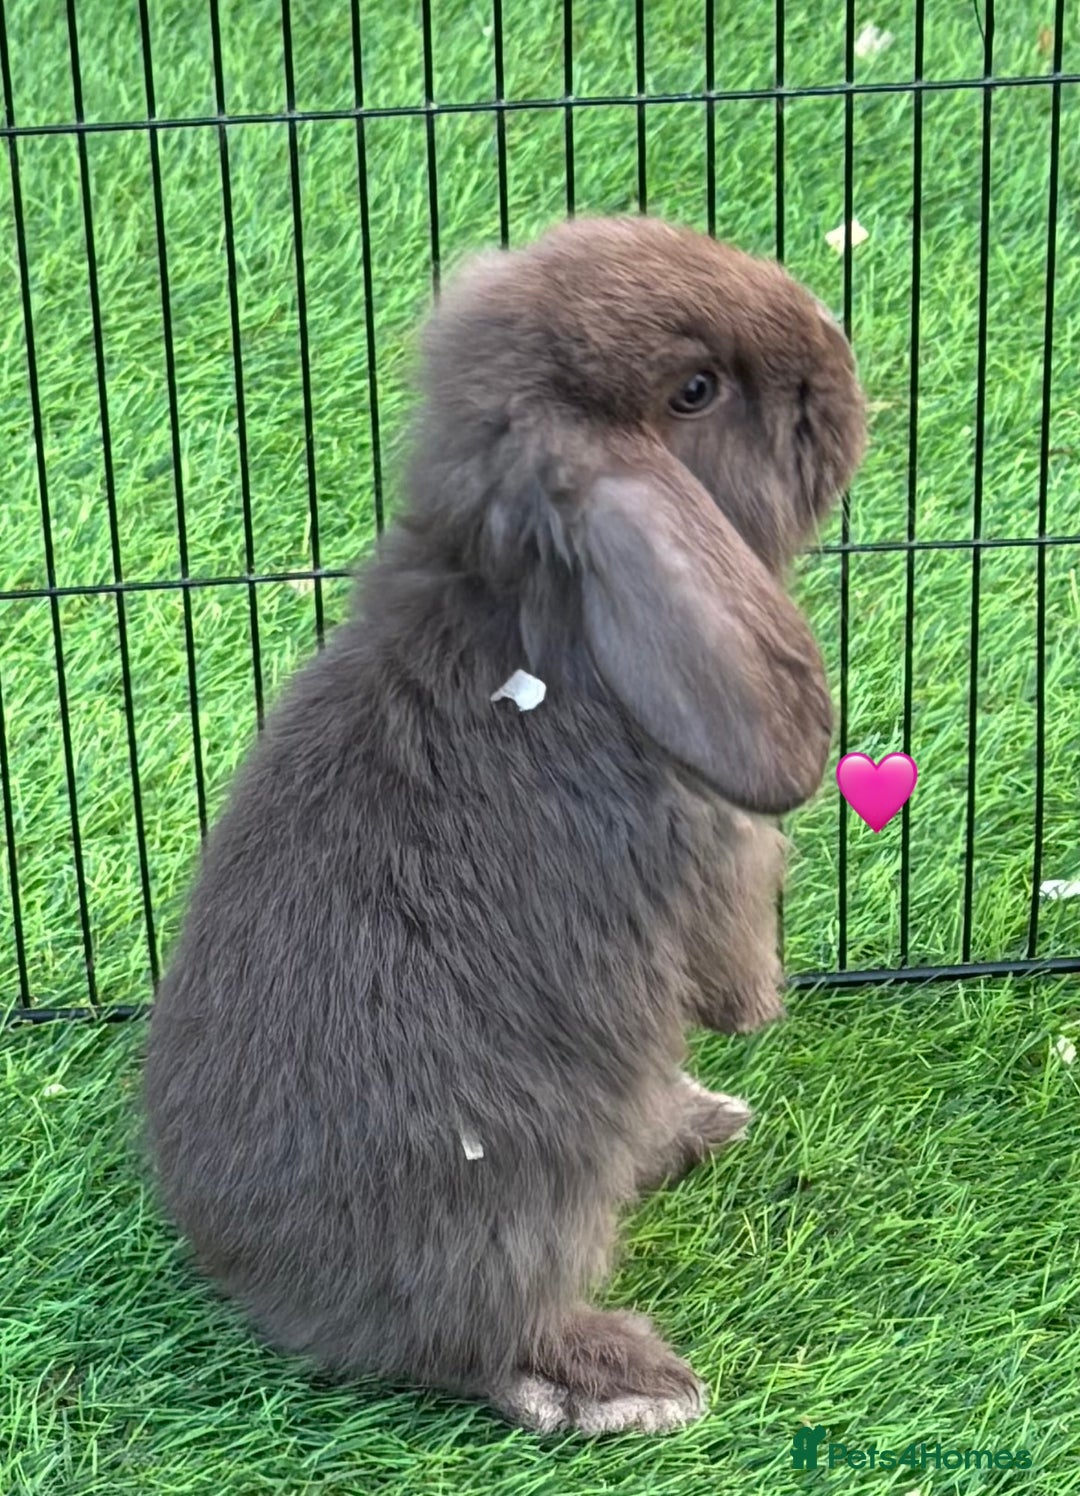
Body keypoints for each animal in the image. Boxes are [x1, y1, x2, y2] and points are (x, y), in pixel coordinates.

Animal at [143, 214, 866, 1437]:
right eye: (697, 389)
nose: (838, 356)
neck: (532, 604)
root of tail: (266, 1289)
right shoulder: (719, 857)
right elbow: (728, 958)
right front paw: (754, 1009)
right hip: (524, 1198)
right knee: (487, 1342)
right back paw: (625, 1380)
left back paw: (700, 1124)